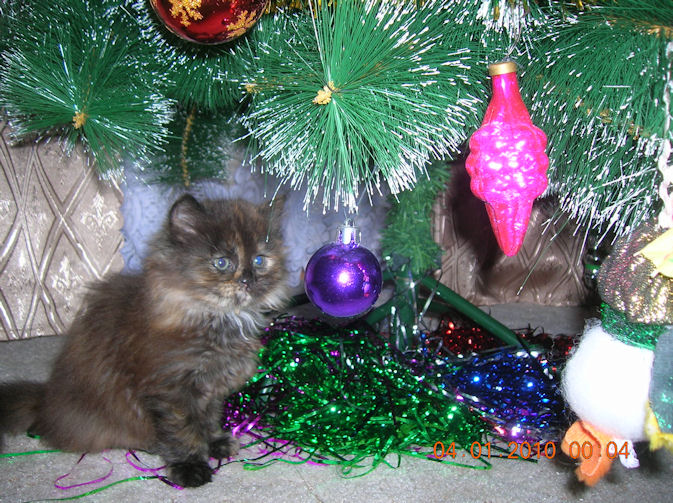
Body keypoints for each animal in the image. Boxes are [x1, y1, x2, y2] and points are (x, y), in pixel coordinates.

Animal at [0, 194, 289, 487]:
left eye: (259, 260)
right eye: (222, 263)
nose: (248, 280)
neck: (217, 319)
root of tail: (45, 401)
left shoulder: (211, 388)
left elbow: (207, 419)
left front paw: (214, 442)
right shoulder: (171, 390)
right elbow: (183, 431)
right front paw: (190, 466)